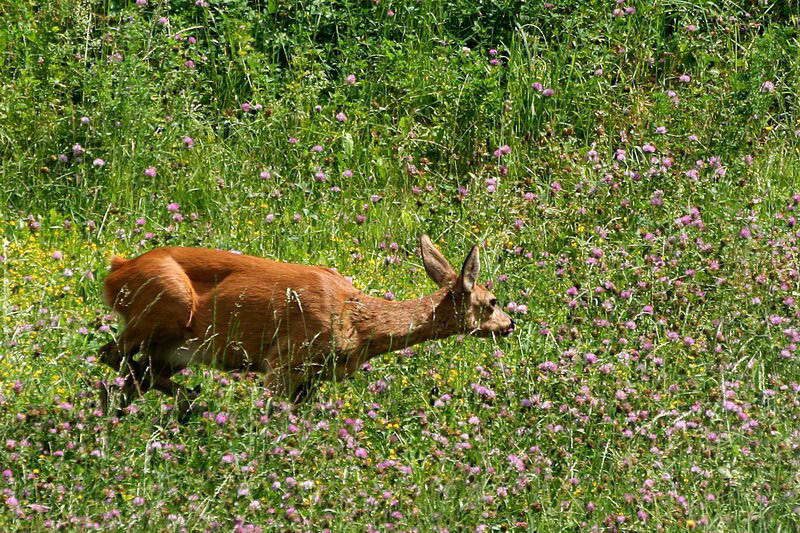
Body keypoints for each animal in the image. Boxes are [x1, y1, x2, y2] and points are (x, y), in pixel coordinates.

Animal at [97, 236, 516, 416]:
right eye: (493, 301)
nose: (510, 324)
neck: (358, 324)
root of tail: (116, 270)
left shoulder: (312, 375)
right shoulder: (284, 360)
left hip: (172, 348)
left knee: (132, 372)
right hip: (164, 305)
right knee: (112, 356)